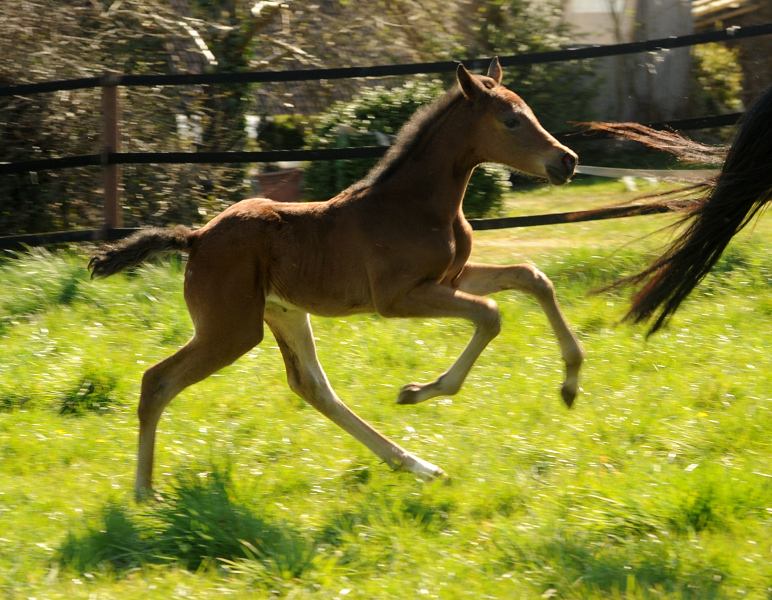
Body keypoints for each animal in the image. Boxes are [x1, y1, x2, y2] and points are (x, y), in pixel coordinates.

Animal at [90, 58, 584, 496]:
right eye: (511, 120)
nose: (568, 161)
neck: (417, 204)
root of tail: (195, 238)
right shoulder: (397, 299)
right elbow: (491, 314)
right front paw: (420, 390)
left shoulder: (450, 278)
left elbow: (531, 276)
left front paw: (570, 383)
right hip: (230, 330)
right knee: (157, 381)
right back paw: (143, 492)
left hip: (283, 314)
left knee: (312, 386)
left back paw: (418, 467)